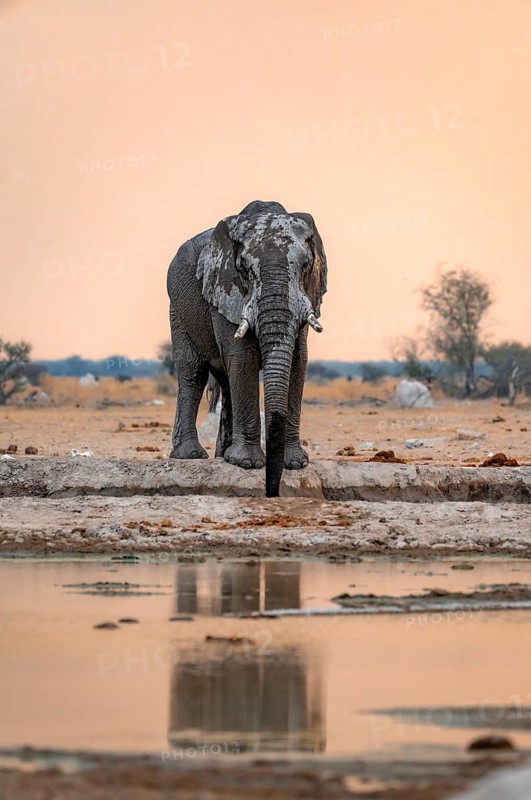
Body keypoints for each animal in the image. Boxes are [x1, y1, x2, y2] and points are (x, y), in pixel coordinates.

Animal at [166, 200, 327, 497]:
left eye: (306, 265)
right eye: (243, 267)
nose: (272, 493)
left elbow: (298, 362)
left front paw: (295, 464)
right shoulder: (223, 290)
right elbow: (243, 359)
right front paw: (248, 464)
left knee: (226, 382)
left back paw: (222, 456)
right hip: (178, 309)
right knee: (193, 373)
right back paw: (191, 456)